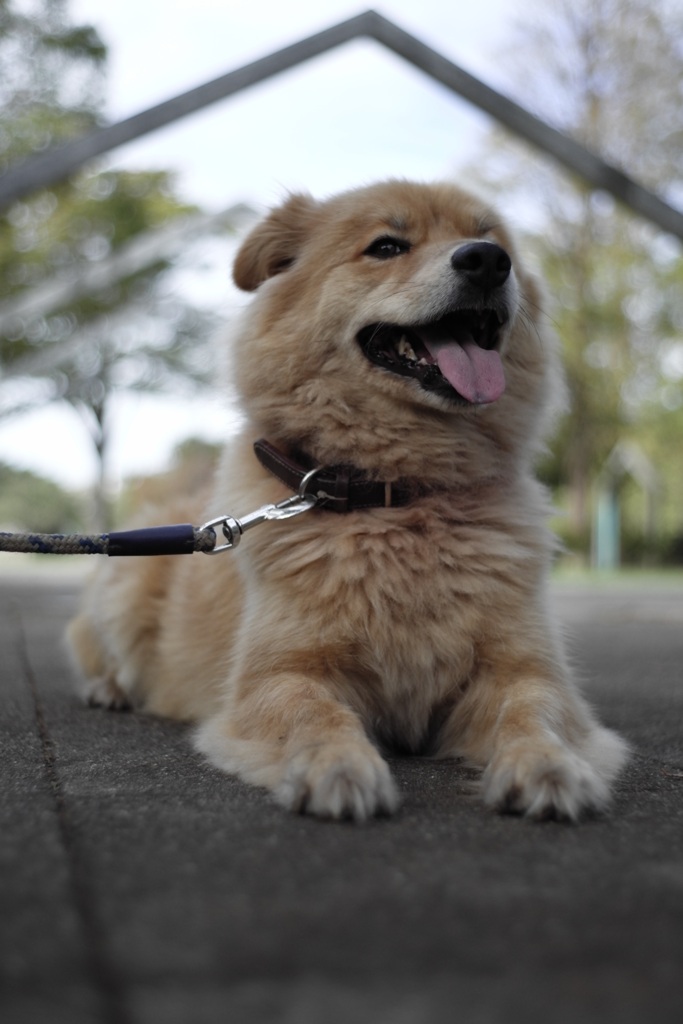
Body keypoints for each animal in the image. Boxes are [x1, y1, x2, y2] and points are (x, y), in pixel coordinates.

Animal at [68, 180, 630, 823]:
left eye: (493, 241)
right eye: (386, 246)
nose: (487, 261)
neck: (395, 495)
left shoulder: (525, 669)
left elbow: (535, 714)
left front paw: (549, 766)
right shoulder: (278, 674)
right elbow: (315, 713)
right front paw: (336, 766)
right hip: (124, 586)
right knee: (91, 646)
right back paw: (108, 689)